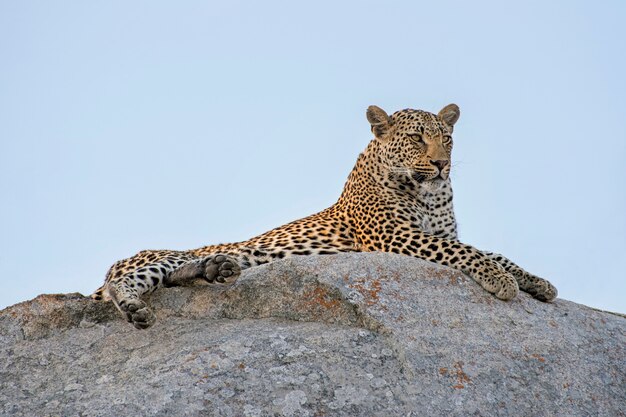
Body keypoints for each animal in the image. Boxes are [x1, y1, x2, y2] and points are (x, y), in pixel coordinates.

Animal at [90, 104, 552, 328]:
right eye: (418, 139)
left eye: (448, 139)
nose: (442, 164)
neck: (431, 194)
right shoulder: (397, 238)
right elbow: (472, 254)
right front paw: (500, 280)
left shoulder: (443, 234)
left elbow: (492, 251)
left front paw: (537, 282)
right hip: (156, 258)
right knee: (123, 284)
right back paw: (136, 309)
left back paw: (217, 269)